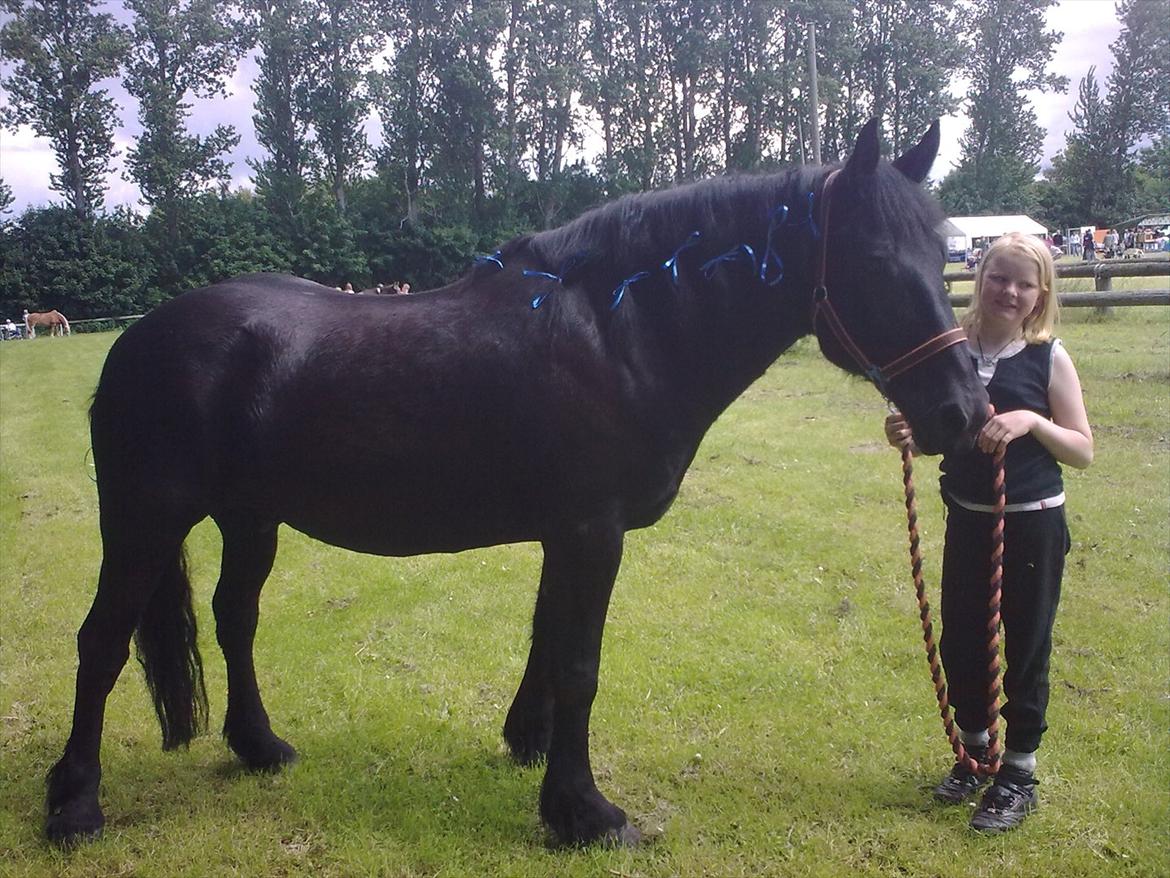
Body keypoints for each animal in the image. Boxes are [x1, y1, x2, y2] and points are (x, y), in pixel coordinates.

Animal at [45, 120, 989, 848]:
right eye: (875, 259)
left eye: (946, 256)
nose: (962, 412)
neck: (618, 334)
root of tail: (136, 340)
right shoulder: (591, 532)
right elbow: (579, 663)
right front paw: (587, 813)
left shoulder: (564, 533)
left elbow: (545, 639)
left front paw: (530, 748)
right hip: (145, 520)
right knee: (100, 642)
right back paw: (74, 805)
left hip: (251, 518)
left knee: (234, 617)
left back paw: (258, 747)